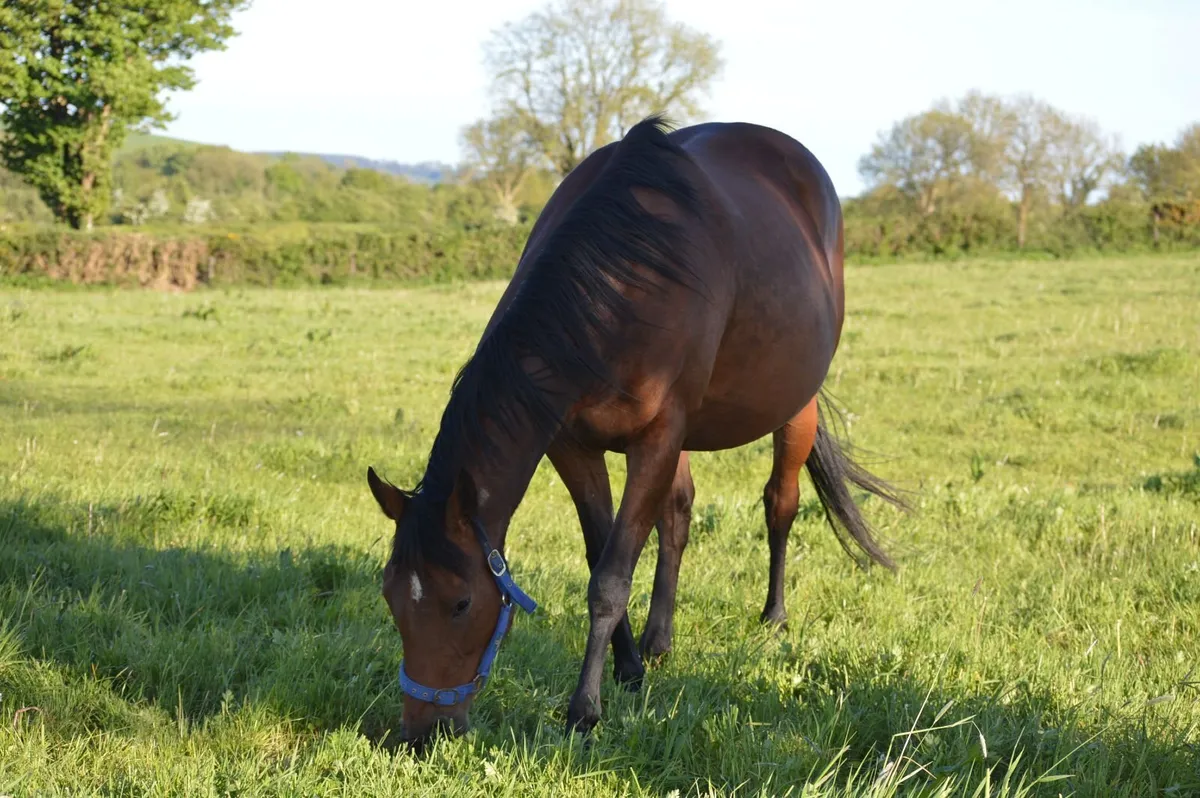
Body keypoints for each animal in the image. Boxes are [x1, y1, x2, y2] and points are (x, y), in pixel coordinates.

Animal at [365, 114, 905, 749]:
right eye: (390, 595)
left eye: (460, 602)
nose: (418, 735)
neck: (618, 285)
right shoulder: (573, 446)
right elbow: (603, 552)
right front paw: (628, 669)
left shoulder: (657, 438)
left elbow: (610, 576)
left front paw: (584, 709)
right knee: (678, 516)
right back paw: (659, 639)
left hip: (793, 409)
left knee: (781, 503)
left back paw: (773, 616)